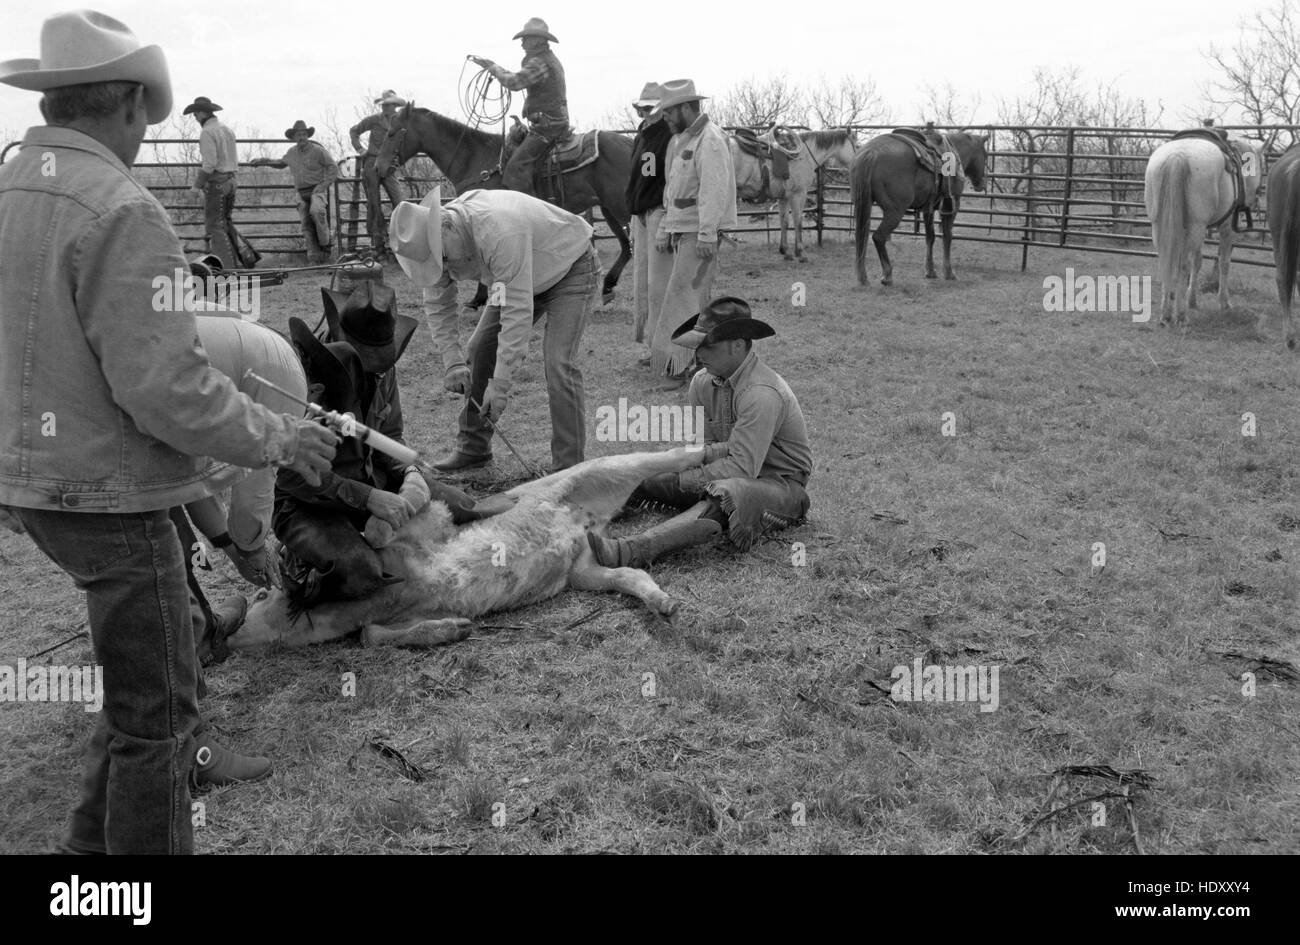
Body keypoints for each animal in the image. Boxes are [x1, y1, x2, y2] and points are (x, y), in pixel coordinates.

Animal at [228, 444, 707, 649]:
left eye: (262, 595)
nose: (230, 637)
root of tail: (581, 519)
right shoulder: (397, 614)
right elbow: (370, 636)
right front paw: (454, 629)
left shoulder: (425, 525)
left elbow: (389, 519)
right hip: (583, 567)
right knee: (629, 572)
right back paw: (664, 604)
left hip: (597, 471)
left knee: (665, 456)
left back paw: (709, 451)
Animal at [374, 105, 631, 301]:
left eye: (392, 133)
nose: (378, 167)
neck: (476, 159)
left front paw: (479, 298)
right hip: (609, 208)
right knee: (627, 247)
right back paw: (608, 285)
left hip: (620, 206)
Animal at [738, 125, 857, 259]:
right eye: (857, 146)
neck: (804, 155)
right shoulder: (798, 194)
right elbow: (798, 221)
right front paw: (800, 252)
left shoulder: (783, 197)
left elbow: (784, 221)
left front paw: (785, 250)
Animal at [852, 129, 982, 284]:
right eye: (985, 155)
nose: (980, 184)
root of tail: (871, 152)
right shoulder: (951, 207)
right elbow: (947, 236)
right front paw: (949, 272)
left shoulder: (928, 209)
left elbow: (930, 237)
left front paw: (930, 271)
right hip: (895, 212)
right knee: (878, 237)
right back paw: (887, 275)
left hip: (863, 204)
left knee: (862, 237)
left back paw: (863, 277)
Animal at [1144, 131, 1263, 327]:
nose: (1257, 196)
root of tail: (1177, 156)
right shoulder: (1227, 229)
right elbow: (1224, 263)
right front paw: (1224, 302)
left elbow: (1197, 262)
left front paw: (1192, 300)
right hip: (1195, 227)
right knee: (1182, 265)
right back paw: (1181, 315)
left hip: (1164, 227)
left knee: (1167, 262)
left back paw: (1166, 314)